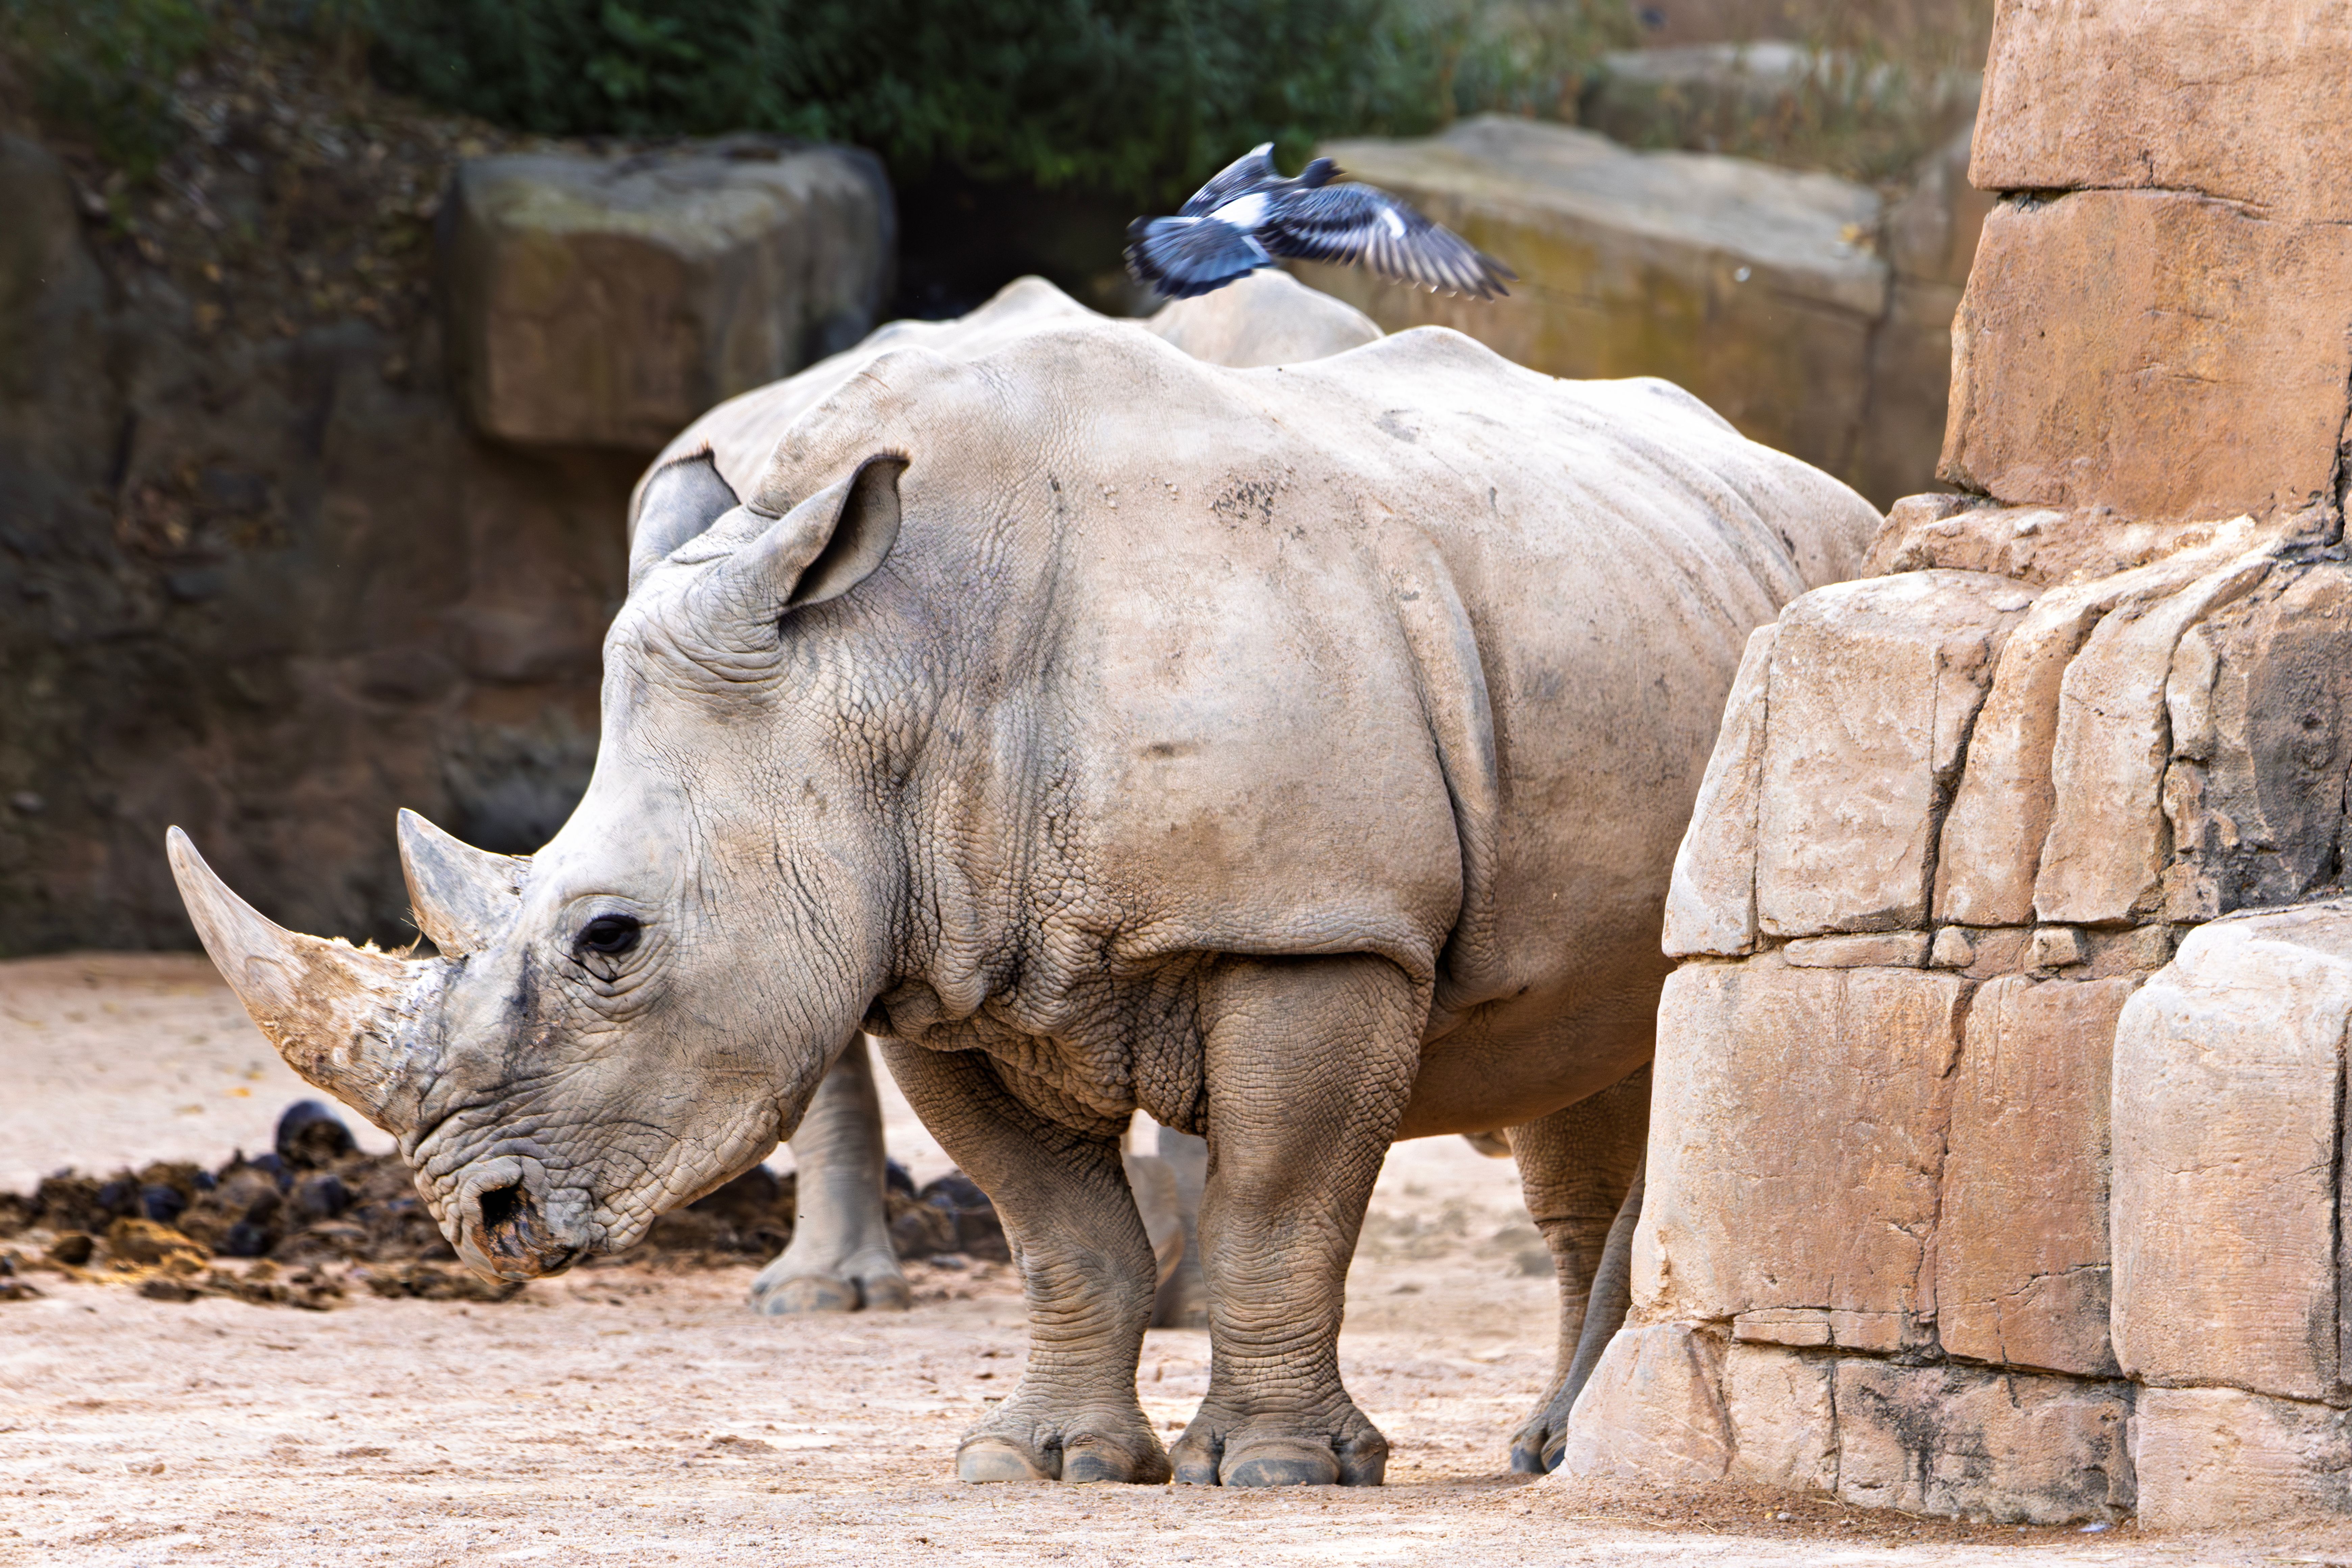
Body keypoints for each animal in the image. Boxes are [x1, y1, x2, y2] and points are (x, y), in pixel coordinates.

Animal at [169, 288, 1877, 1487]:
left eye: (610, 937)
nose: (483, 1215)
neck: (879, 661)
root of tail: (1828, 491)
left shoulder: (1311, 929)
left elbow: (1280, 1202)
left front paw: (1275, 1469)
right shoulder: (939, 958)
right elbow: (1057, 1227)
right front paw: (1046, 1460)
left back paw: (1569, 1452)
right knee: (1586, 1066)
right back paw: (1551, 1444)